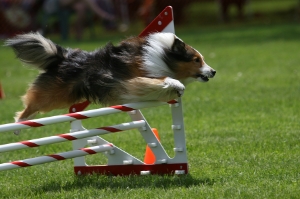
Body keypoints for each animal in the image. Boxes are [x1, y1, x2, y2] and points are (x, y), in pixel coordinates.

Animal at [4, 32, 216, 134]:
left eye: (202, 59)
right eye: (196, 60)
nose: (213, 71)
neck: (163, 57)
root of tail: (63, 57)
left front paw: (174, 89)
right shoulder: (135, 78)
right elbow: (164, 80)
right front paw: (177, 85)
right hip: (52, 97)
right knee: (28, 107)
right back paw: (18, 126)